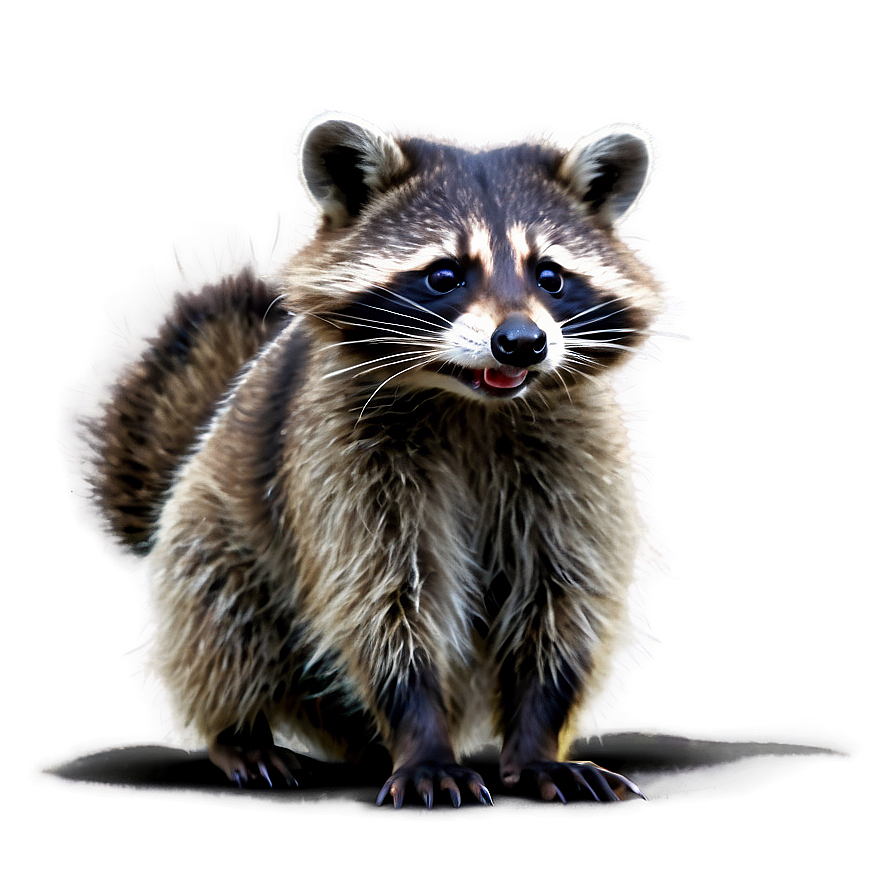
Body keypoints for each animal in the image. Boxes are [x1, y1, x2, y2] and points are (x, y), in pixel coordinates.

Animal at [72, 114, 668, 807]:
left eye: (550, 276)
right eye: (445, 274)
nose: (522, 343)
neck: (470, 401)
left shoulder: (577, 457)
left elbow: (563, 593)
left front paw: (537, 742)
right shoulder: (339, 457)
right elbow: (380, 596)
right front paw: (422, 738)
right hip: (206, 520)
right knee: (218, 611)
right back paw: (237, 730)